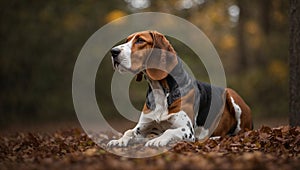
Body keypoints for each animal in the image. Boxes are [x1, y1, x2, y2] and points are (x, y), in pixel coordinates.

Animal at [106, 29, 252, 147]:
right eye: (127, 40)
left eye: (140, 40)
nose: (113, 51)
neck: (160, 90)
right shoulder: (142, 128)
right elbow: (128, 132)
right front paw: (119, 141)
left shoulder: (186, 129)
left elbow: (169, 131)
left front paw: (157, 140)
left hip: (232, 97)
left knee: (237, 133)